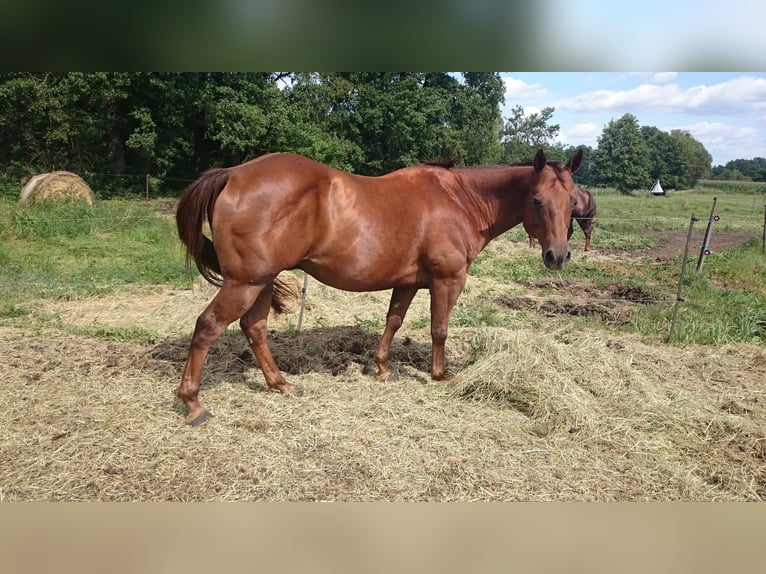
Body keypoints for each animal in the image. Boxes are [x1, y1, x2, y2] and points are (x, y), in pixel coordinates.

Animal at [176, 148, 584, 426]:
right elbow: (439, 329)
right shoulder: (447, 280)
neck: (458, 200)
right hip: (244, 283)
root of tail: (233, 174)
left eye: (572, 202)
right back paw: (193, 403)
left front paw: (383, 368)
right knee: (208, 327)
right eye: (537, 201)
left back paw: (280, 384)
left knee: (254, 327)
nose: (558, 256)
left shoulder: (408, 284)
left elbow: (393, 322)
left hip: (260, 282)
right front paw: (440, 374)